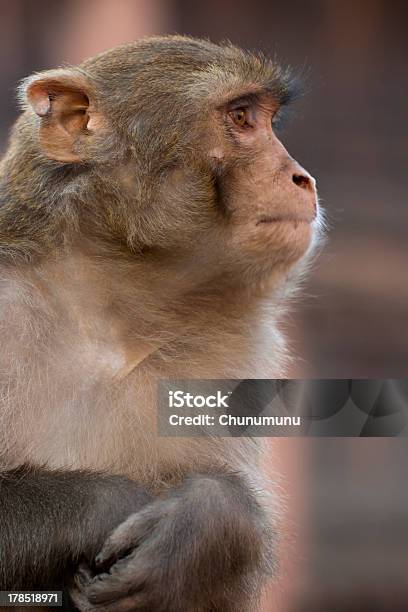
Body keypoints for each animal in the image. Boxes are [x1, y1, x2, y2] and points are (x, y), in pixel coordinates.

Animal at [0, 35, 320, 608]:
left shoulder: (237, 354)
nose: (300, 177)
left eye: (266, 119)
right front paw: (106, 504)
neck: (107, 309)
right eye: (241, 117)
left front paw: (203, 522)